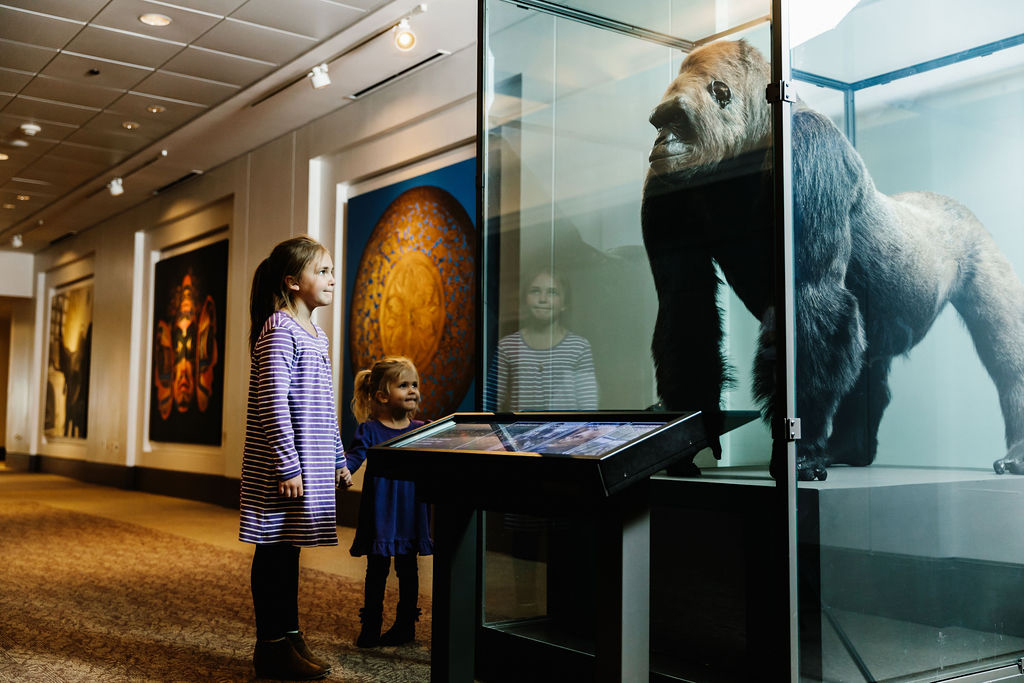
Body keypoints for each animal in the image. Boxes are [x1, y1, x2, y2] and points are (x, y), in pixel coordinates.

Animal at [643, 40, 1024, 481]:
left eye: (676, 119)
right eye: (657, 122)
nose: (658, 143)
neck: (756, 130)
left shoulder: (809, 146)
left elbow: (810, 294)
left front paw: (801, 445)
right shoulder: (665, 183)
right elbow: (686, 307)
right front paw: (692, 434)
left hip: (977, 240)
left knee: (1005, 352)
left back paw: (1016, 449)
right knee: (867, 361)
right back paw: (851, 447)